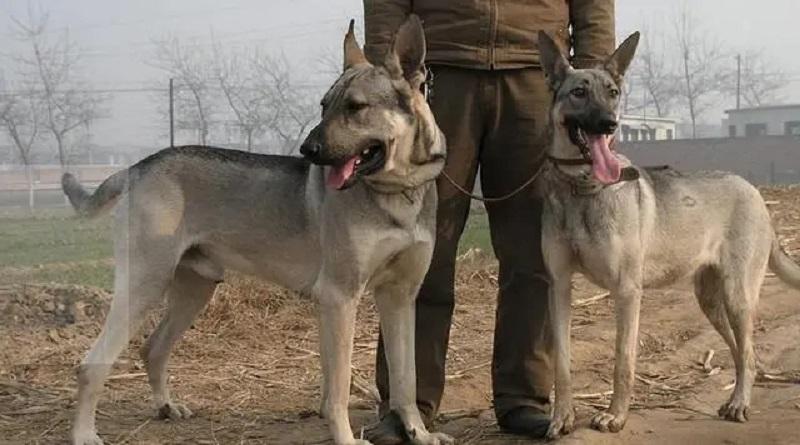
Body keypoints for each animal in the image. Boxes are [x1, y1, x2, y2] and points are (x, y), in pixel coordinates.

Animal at [65, 16, 454, 444]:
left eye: (355, 108)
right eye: (324, 106)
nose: (308, 150)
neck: (398, 192)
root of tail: (137, 167)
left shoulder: (399, 298)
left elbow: (405, 381)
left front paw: (419, 433)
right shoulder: (339, 297)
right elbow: (338, 388)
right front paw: (346, 436)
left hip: (194, 289)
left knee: (153, 348)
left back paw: (167, 407)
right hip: (144, 285)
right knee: (91, 365)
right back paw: (84, 433)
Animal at [536, 31, 800, 438]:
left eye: (613, 92)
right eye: (578, 92)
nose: (610, 124)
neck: (584, 190)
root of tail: (755, 191)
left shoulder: (627, 291)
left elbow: (623, 359)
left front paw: (615, 416)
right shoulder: (560, 286)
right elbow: (562, 364)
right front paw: (562, 416)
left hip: (737, 296)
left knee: (749, 351)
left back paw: (740, 403)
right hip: (710, 301)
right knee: (744, 353)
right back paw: (735, 397)